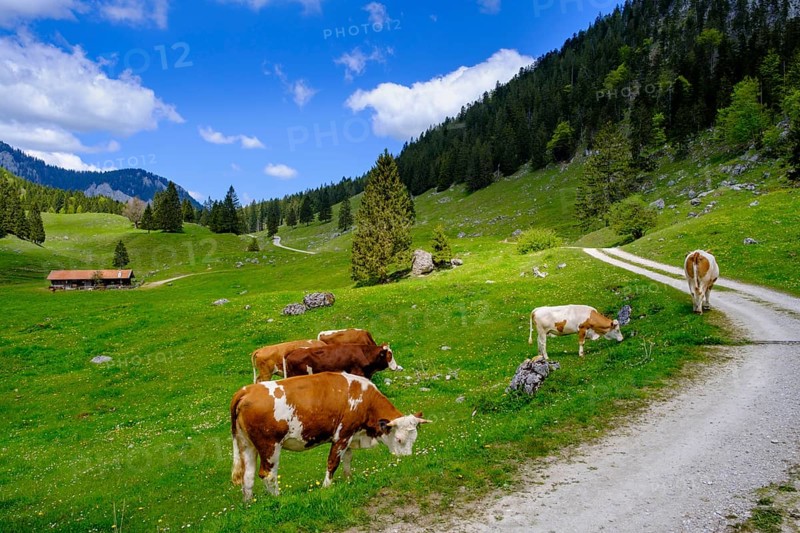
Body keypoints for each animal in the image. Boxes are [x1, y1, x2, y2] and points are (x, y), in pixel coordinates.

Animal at [230, 372, 430, 500]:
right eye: (399, 439)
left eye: (414, 439)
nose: (407, 461)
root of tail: (247, 390)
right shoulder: (342, 435)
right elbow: (333, 462)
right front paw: (326, 487)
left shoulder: (351, 436)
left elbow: (348, 458)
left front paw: (349, 480)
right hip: (270, 446)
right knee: (268, 474)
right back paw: (278, 499)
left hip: (246, 444)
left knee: (248, 476)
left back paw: (249, 505)